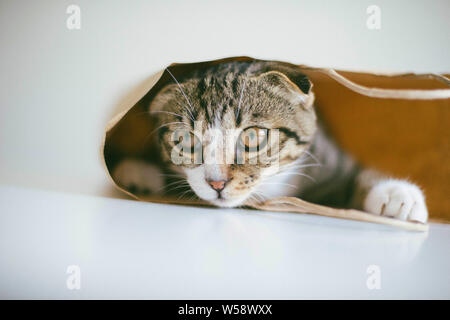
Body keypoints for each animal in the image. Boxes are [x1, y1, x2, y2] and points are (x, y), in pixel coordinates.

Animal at [113, 61, 428, 224]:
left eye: (252, 137)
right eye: (186, 140)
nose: (217, 183)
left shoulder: (329, 158)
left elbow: (356, 175)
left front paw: (397, 194)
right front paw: (138, 170)